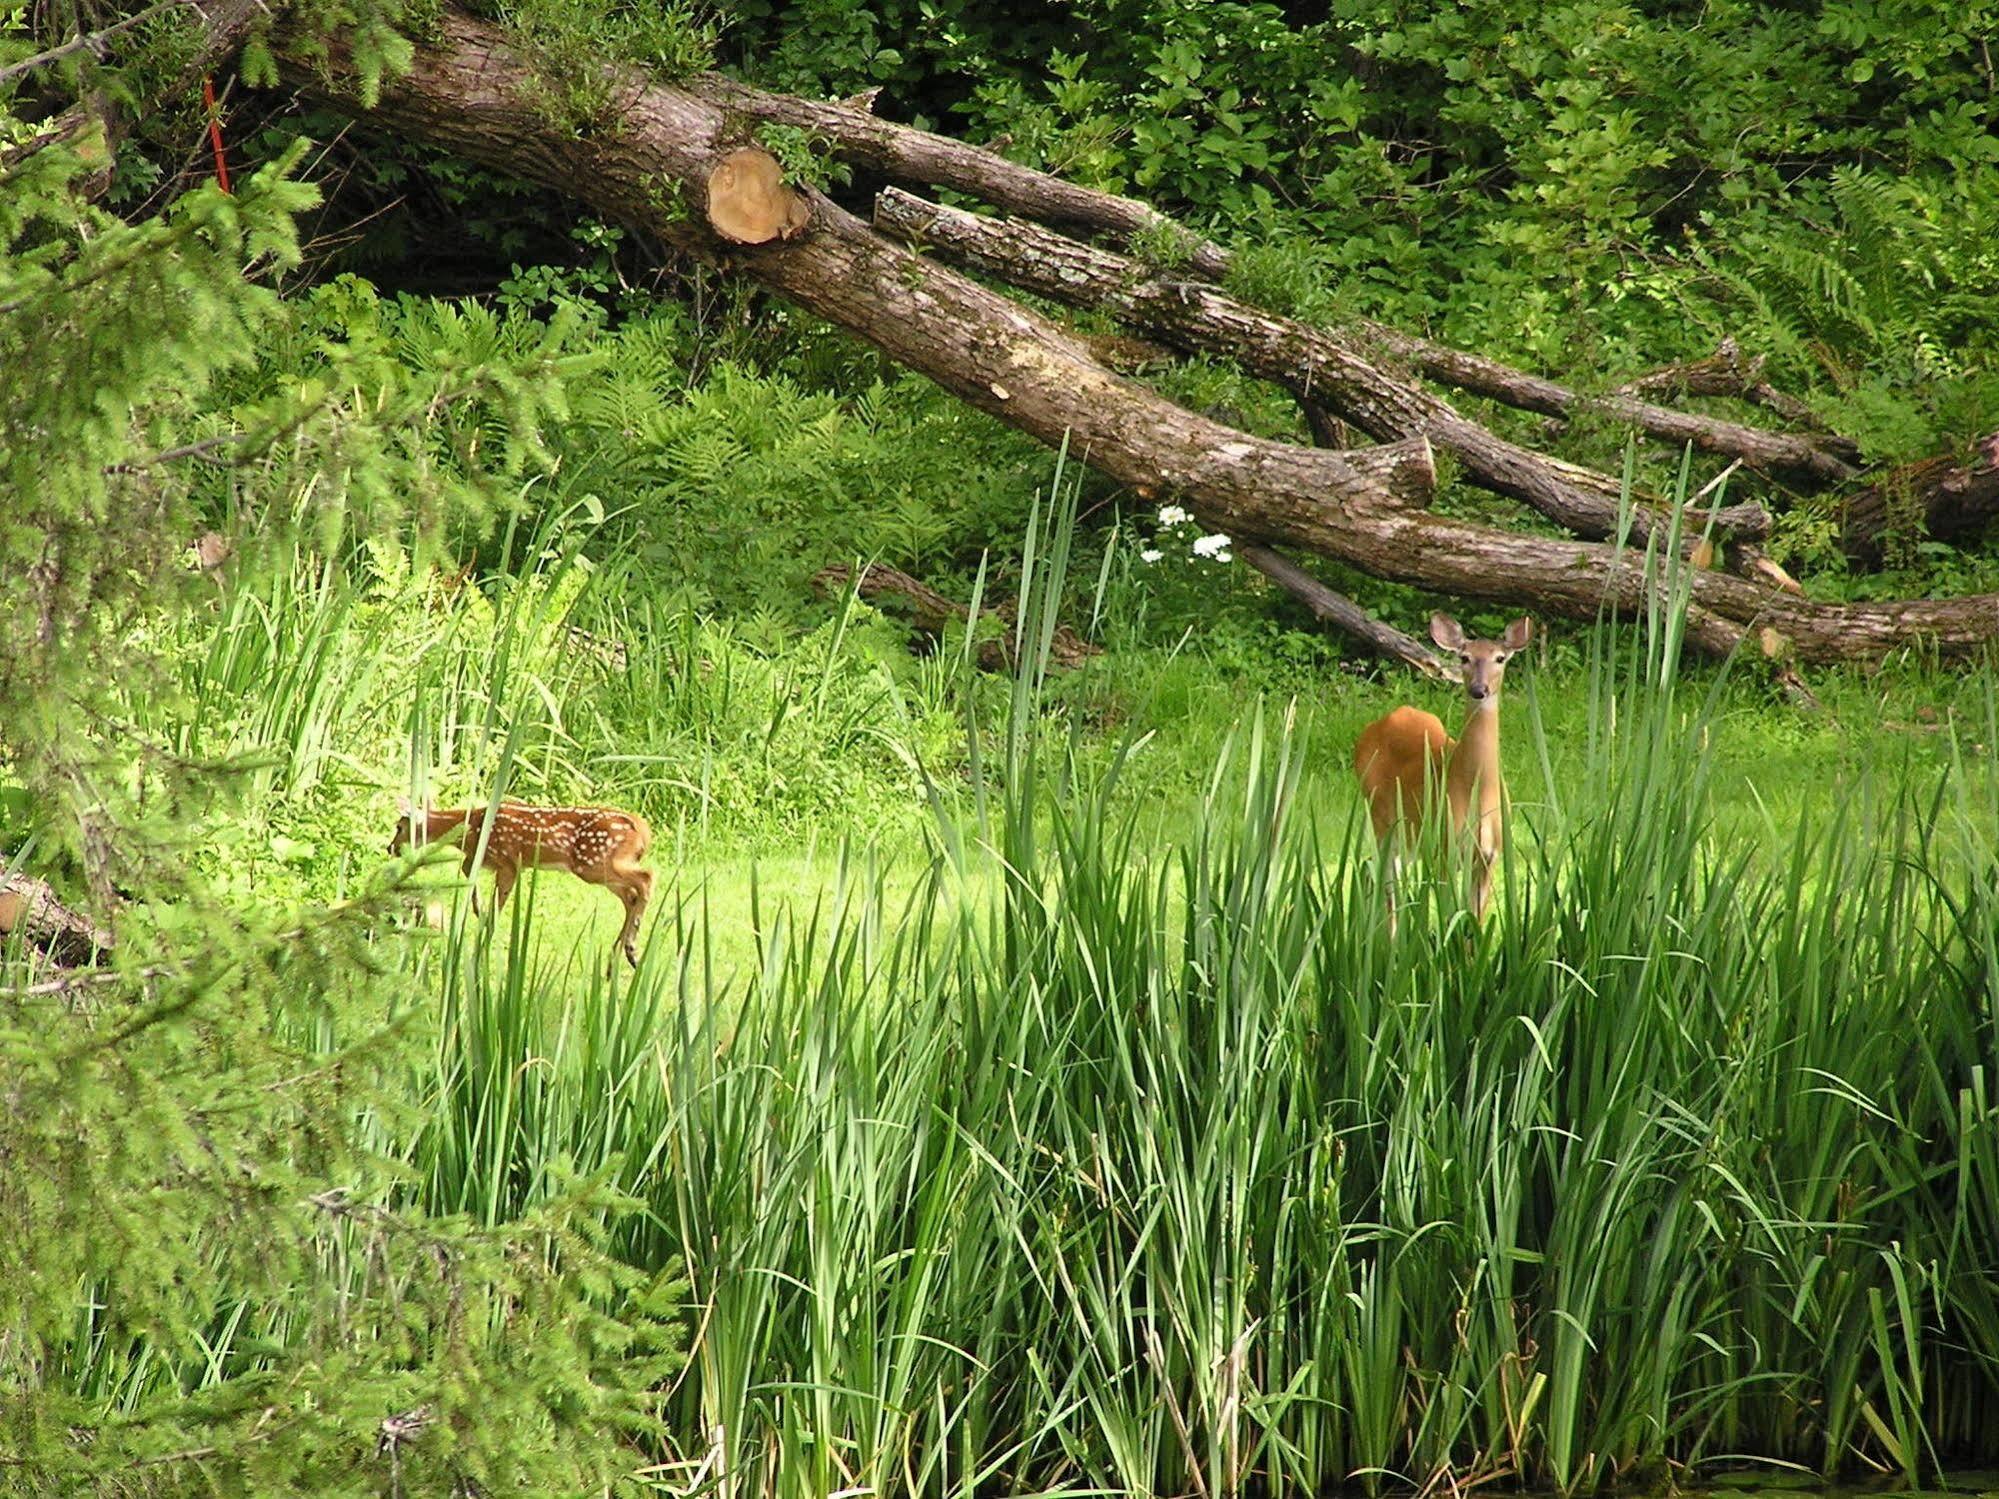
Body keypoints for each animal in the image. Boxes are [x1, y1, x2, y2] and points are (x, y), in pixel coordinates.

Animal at [381, 803, 647, 967]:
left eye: (399, 827)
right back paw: (620, 957)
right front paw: (479, 911)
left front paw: (483, 949)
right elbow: (468, 873)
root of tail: (642, 830)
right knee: (630, 897)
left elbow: (495, 909)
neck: (473, 825)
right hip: (602, 870)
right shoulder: (486, 859)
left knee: (645, 878)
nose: (390, 847)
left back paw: (629, 948)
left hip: (594, 863)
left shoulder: (508, 862)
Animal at [1351, 615, 1535, 935]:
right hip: (1381, 817)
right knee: (1380, 876)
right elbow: (1450, 918)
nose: (1479, 689)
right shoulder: (1443, 849)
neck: (1477, 793)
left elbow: (1473, 922)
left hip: (1409, 835)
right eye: (1464, 657)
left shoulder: (1490, 857)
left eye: (1500, 658)